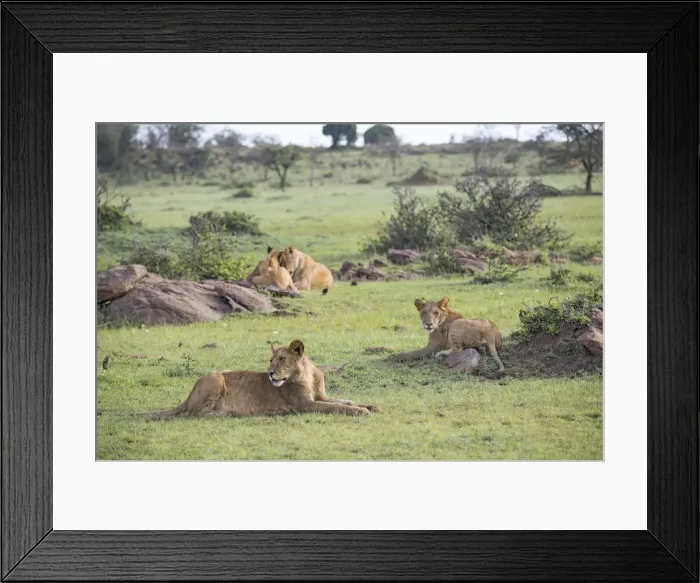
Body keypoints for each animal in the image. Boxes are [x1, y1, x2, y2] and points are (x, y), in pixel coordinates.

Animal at [150, 340, 381, 419]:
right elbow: (337, 407)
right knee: (197, 413)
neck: (306, 374)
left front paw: (371, 406)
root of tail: (188, 396)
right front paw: (361, 412)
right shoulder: (306, 405)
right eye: (271, 360)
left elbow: (344, 400)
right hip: (215, 376)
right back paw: (234, 413)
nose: (269, 373)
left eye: (281, 359)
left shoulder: (320, 397)